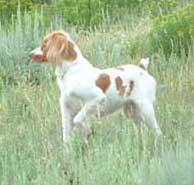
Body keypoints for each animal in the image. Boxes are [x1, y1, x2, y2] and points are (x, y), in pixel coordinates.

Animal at [29, 31, 162, 142]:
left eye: (44, 43)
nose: (30, 54)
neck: (71, 71)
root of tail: (142, 68)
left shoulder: (96, 99)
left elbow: (78, 120)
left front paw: (86, 130)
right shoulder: (66, 109)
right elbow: (66, 136)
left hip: (145, 108)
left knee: (157, 131)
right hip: (132, 111)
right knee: (144, 130)